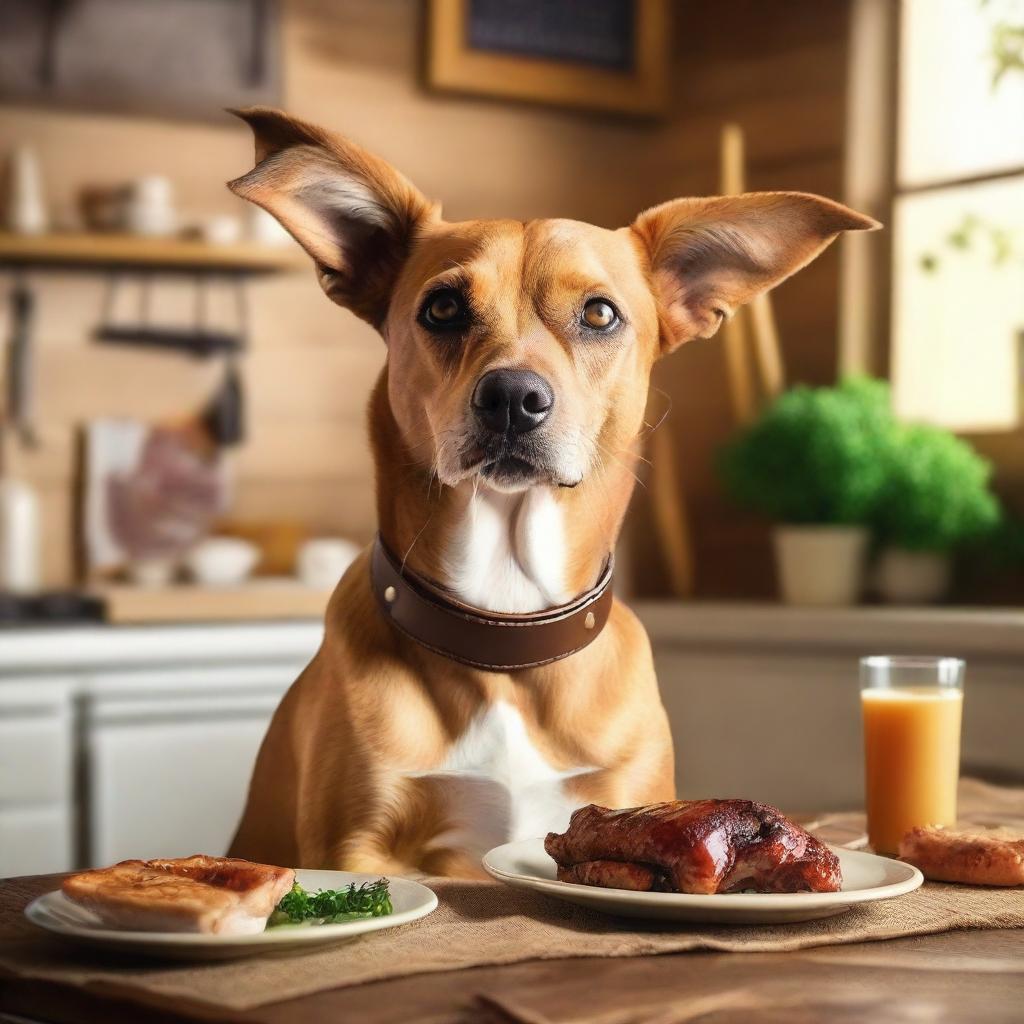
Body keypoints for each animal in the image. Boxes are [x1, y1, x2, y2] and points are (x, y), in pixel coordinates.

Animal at [228, 108, 876, 876]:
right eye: (442, 307)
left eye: (599, 314)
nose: (512, 398)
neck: (507, 630)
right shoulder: (354, 845)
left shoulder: (626, 789)